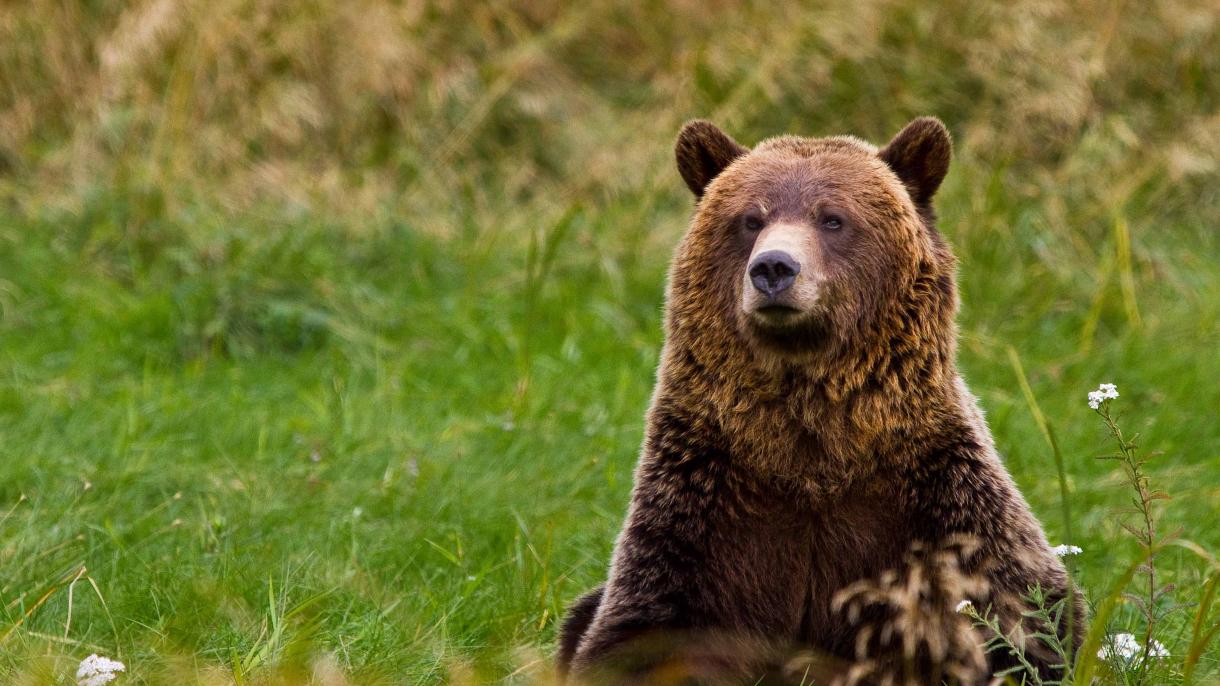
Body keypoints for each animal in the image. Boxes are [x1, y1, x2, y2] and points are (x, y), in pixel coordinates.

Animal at [558, 119, 1083, 683]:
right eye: (750, 219)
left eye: (833, 218)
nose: (773, 268)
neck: (814, 446)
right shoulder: (702, 502)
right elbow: (646, 630)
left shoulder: (937, 498)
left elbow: (1018, 614)